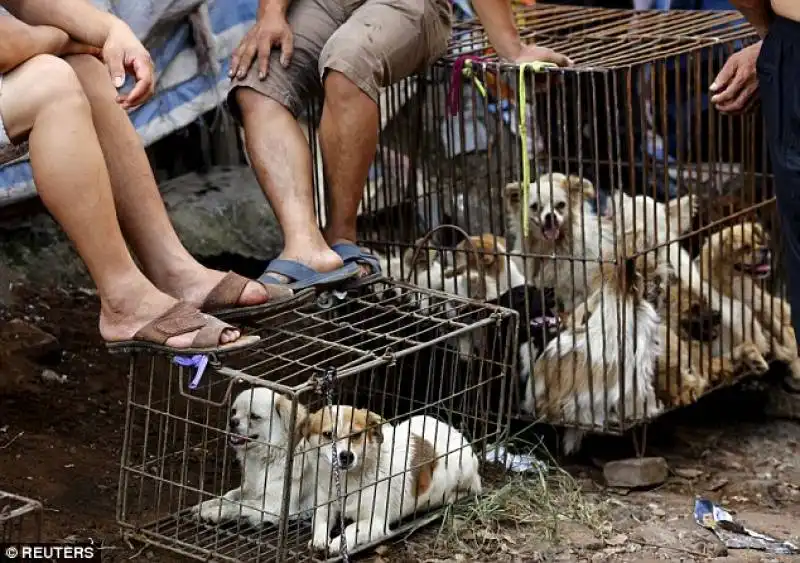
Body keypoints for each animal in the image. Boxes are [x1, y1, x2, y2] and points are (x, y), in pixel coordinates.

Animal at [191, 388, 316, 528]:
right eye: (234, 411)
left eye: (255, 416)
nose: (232, 421)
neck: (265, 458)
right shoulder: (250, 487)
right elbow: (230, 496)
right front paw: (209, 504)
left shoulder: (273, 505)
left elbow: (241, 505)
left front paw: (214, 512)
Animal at [304, 406, 482, 556]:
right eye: (327, 435)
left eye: (356, 435)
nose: (346, 456)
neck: (349, 480)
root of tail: (456, 433)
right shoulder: (325, 504)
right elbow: (319, 521)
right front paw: (319, 539)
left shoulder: (376, 523)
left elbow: (351, 527)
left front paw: (339, 543)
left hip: (463, 471)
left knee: (472, 489)